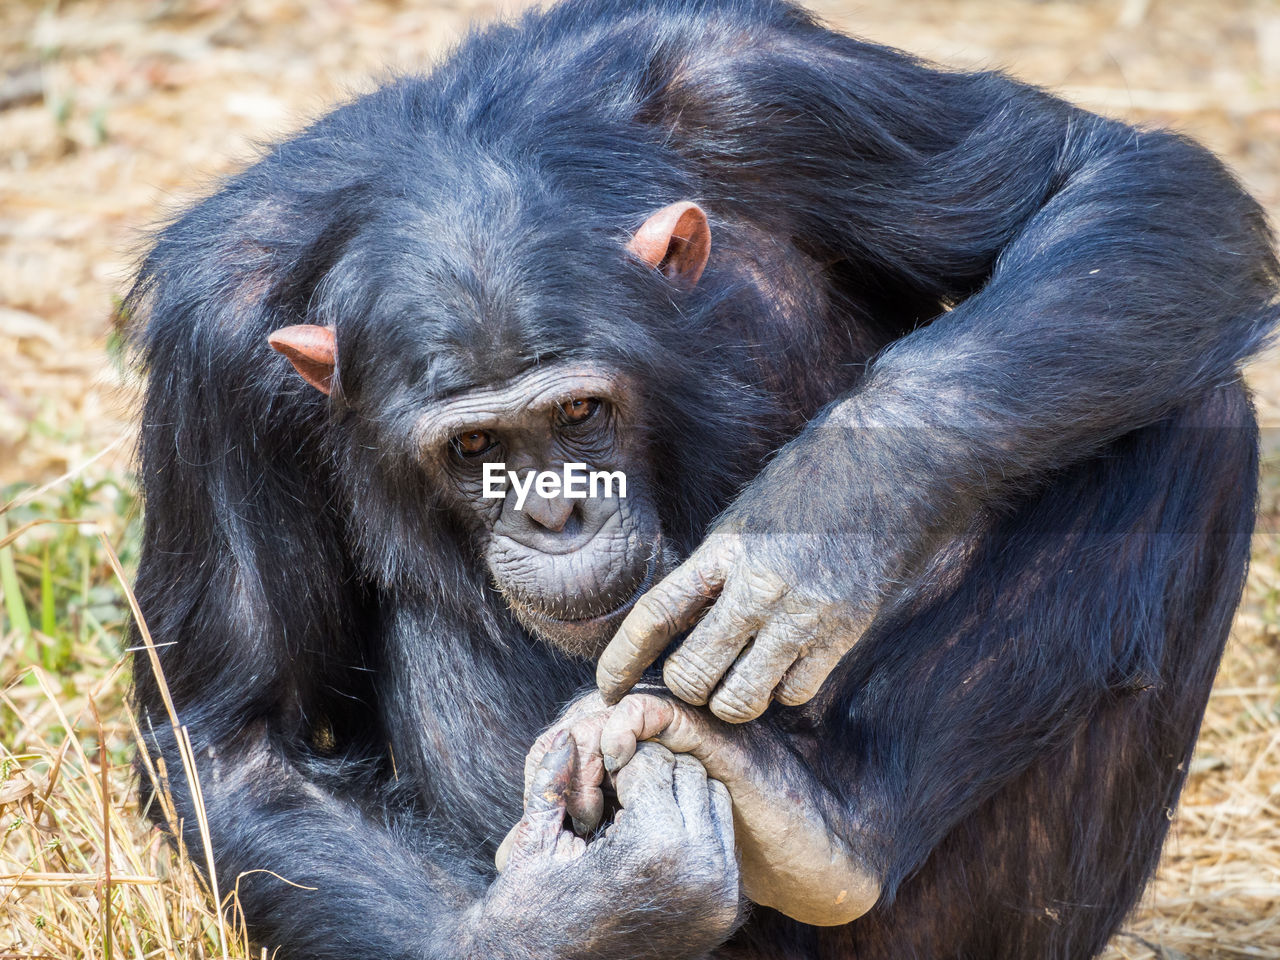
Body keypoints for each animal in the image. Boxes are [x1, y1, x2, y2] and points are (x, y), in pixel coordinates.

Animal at [127, 0, 1280, 957]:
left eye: (579, 415)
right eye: (473, 449)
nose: (555, 512)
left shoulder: (761, 82)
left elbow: (1105, 171)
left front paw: (812, 525)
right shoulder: (210, 345)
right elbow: (234, 739)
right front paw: (579, 913)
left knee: (1192, 414)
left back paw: (823, 818)